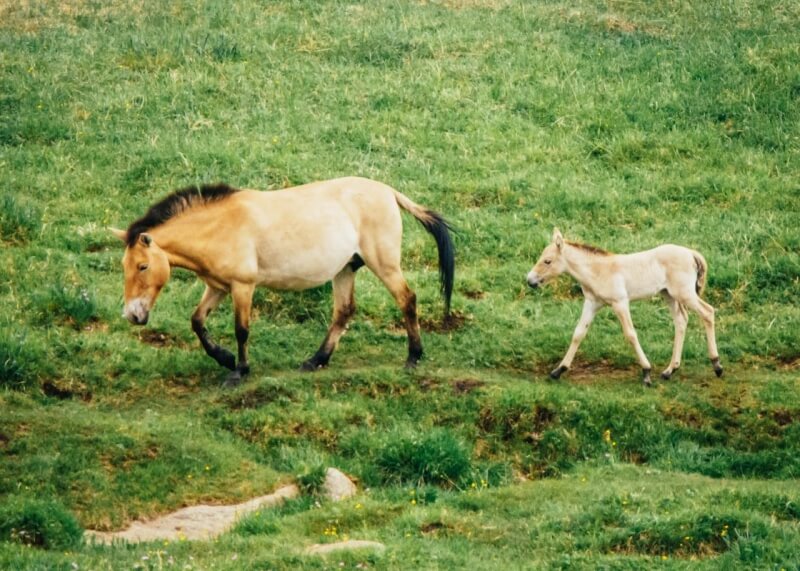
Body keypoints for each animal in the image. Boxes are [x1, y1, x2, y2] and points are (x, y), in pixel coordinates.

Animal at [111, 177, 456, 386]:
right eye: (125, 266)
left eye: (142, 266)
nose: (133, 315)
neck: (219, 226)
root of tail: (388, 192)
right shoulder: (218, 287)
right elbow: (197, 321)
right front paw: (225, 358)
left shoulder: (242, 286)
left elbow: (241, 330)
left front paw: (239, 371)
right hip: (345, 270)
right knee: (343, 312)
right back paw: (316, 361)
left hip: (384, 265)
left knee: (406, 299)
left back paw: (413, 357)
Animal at [528, 230, 720, 386]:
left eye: (547, 261)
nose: (530, 281)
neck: (598, 270)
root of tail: (691, 253)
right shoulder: (592, 303)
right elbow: (578, 333)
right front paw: (558, 370)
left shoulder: (620, 302)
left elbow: (630, 334)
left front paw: (646, 373)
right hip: (669, 295)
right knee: (681, 320)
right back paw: (669, 370)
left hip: (684, 293)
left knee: (707, 312)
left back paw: (717, 365)